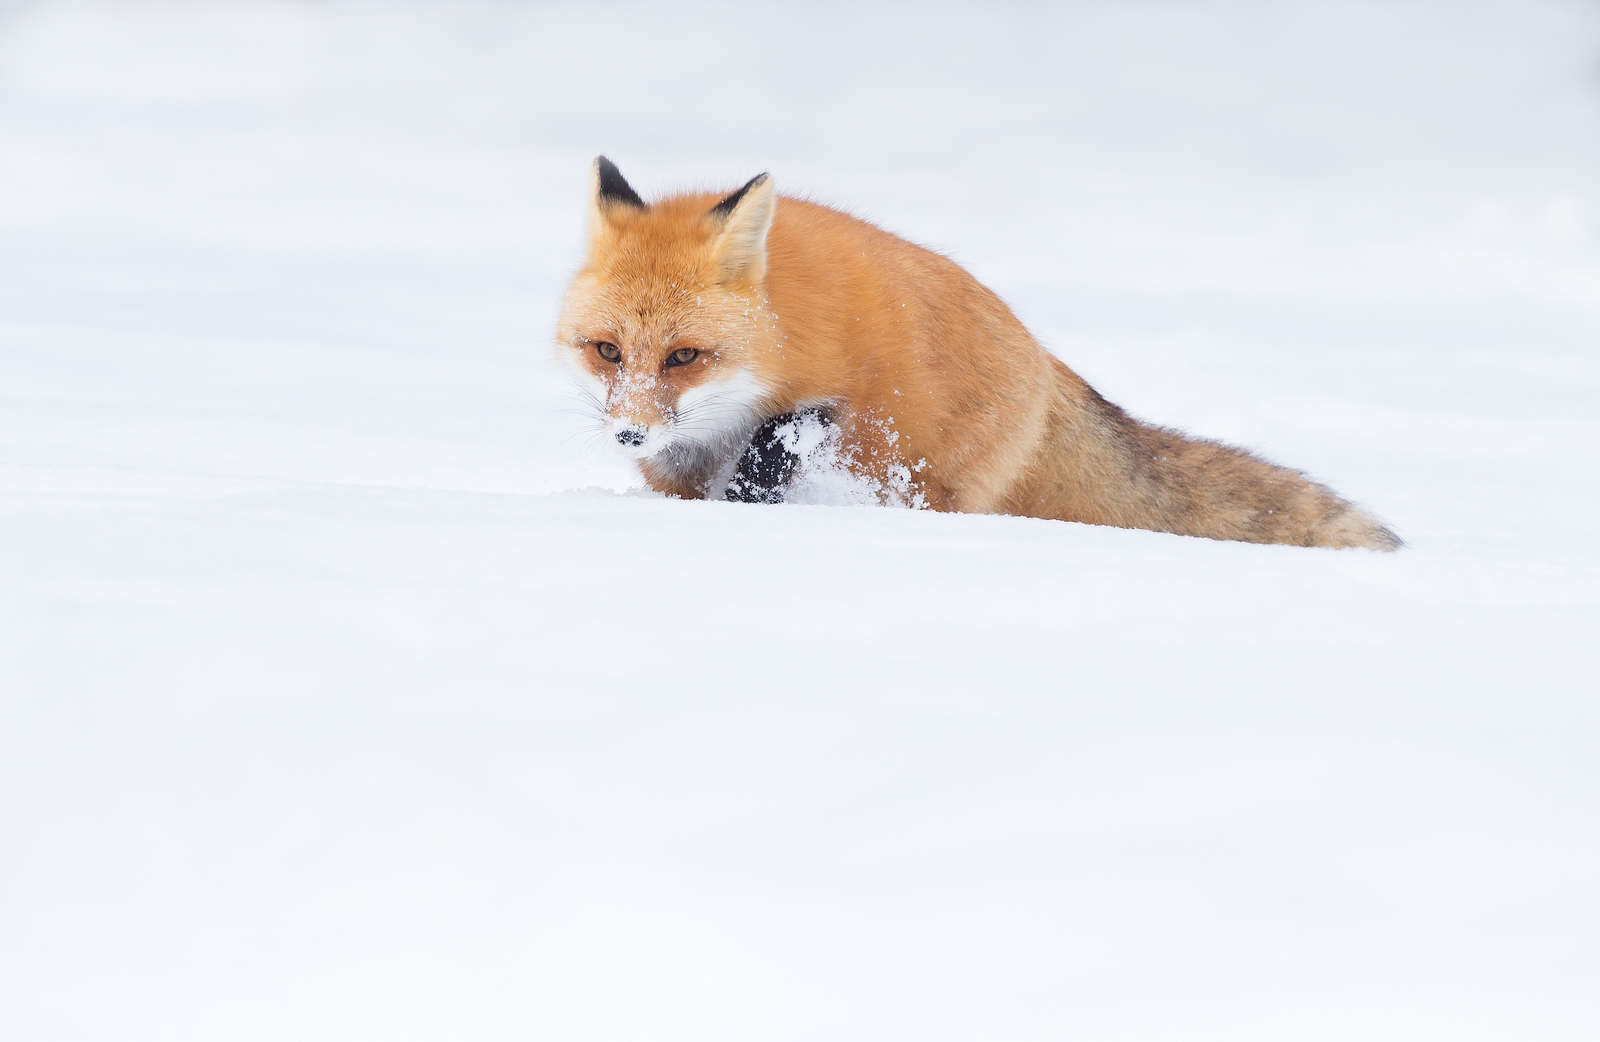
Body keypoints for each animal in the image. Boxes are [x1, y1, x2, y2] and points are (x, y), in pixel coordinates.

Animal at [556, 157, 1400, 551]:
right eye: (608, 351)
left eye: (683, 358)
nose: (629, 433)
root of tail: (1049, 365)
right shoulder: (676, 465)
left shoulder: (825, 394)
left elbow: (770, 453)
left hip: (932, 484)